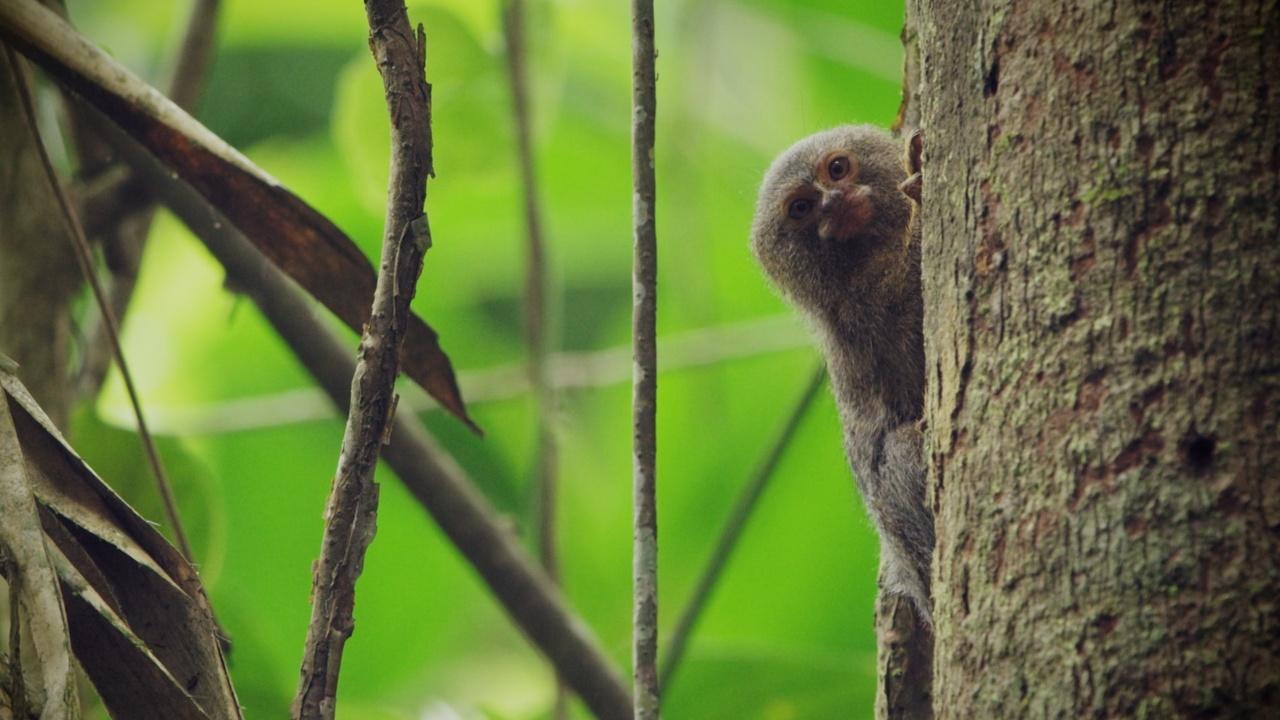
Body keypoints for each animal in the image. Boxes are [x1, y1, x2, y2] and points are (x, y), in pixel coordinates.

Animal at [750, 124, 933, 623]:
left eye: (837, 168)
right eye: (801, 208)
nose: (834, 202)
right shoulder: (867, 311)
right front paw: (919, 184)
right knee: (898, 456)